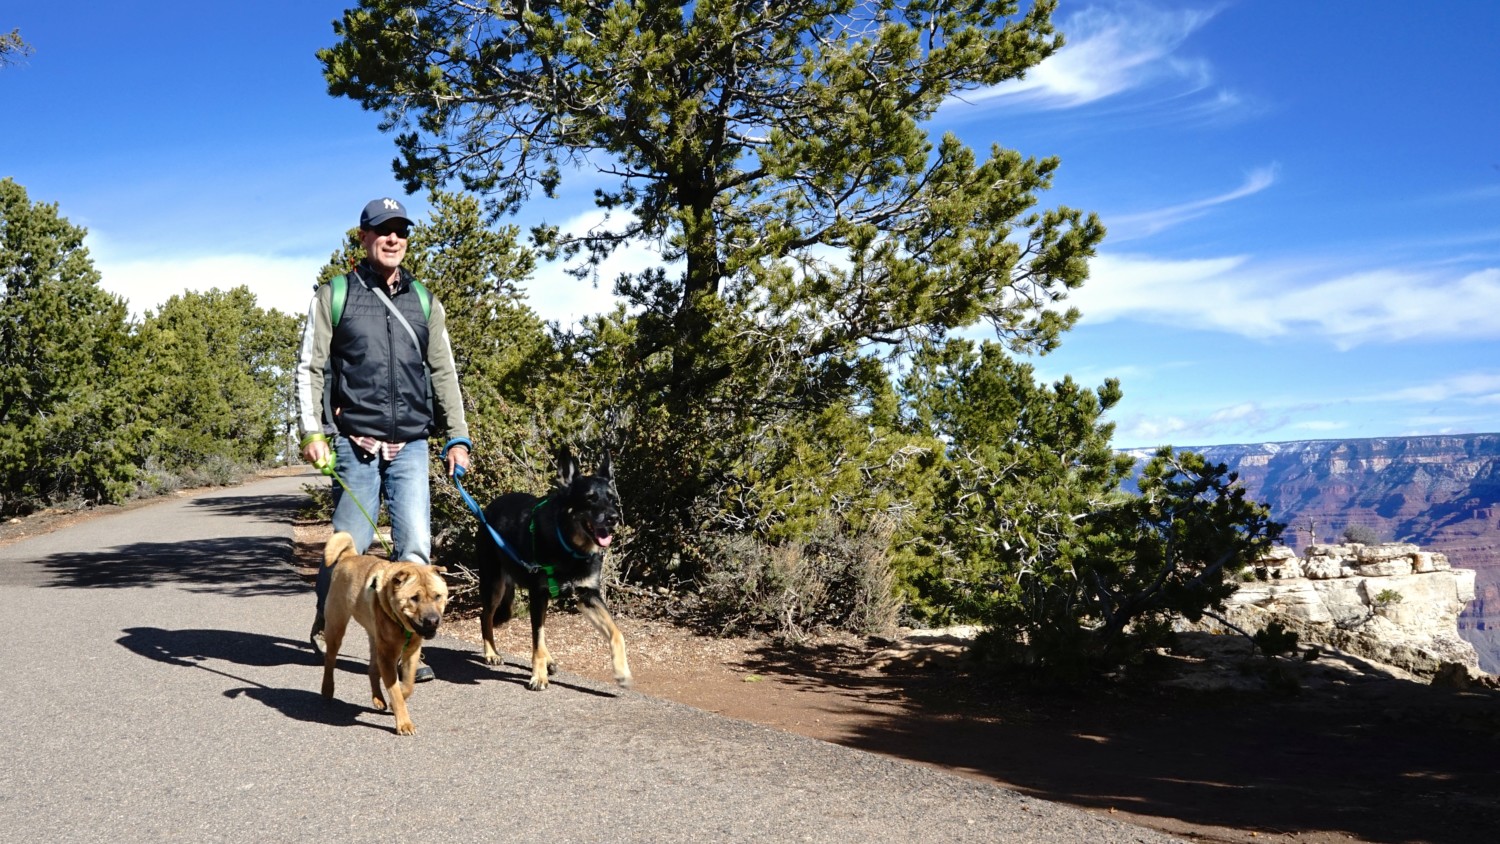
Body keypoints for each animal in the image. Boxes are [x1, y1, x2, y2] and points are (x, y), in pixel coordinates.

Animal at [319, 530, 447, 737]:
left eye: (438, 596)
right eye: (414, 598)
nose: (432, 620)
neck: (402, 626)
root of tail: (349, 556)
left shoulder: (411, 652)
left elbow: (407, 685)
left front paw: (400, 696)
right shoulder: (387, 655)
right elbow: (395, 691)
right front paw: (404, 723)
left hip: (374, 638)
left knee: (372, 669)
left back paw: (378, 699)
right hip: (336, 627)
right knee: (330, 661)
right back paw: (327, 689)